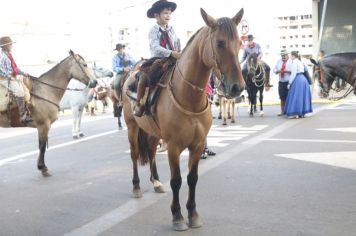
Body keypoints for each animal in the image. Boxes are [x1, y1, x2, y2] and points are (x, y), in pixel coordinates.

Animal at [122, 8, 245, 230]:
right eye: (220, 43)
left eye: (240, 43)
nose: (237, 87)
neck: (189, 98)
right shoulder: (173, 146)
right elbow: (177, 180)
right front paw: (178, 216)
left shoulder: (197, 145)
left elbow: (192, 178)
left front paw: (193, 214)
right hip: (132, 127)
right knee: (135, 155)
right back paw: (136, 187)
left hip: (153, 132)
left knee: (151, 152)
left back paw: (156, 182)